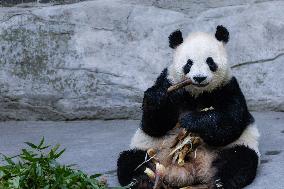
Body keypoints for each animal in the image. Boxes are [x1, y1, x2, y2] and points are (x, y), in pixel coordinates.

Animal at [116, 25, 260, 189]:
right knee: (133, 160)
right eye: (189, 63)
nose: (199, 77)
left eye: (210, 62)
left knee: (239, 160)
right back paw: (141, 180)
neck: (197, 93)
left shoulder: (227, 87)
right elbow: (153, 126)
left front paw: (192, 121)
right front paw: (156, 99)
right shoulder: (168, 81)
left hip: (233, 147)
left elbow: (229, 123)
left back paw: (221, 182)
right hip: (150, 149)